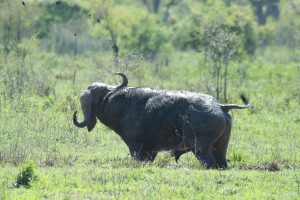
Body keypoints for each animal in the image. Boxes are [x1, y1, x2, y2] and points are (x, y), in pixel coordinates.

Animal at [74, 72, 250, 168]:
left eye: (95, 92)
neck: (120, 104)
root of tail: (220, 106)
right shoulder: (150, 151)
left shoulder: (136, 147)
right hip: (220, 147)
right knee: (221, 163)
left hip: (200, 147)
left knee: (209, 163)